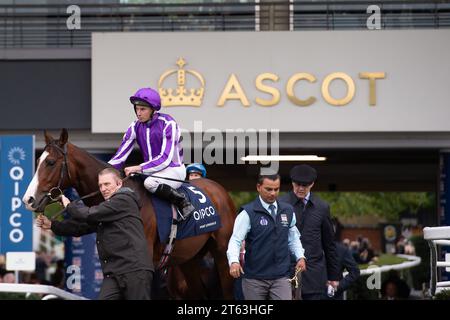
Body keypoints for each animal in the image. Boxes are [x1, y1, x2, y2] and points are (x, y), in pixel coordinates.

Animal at [22, 129, 236, 298]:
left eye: (50, 162)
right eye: (37, 160)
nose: (28, 199)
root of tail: (220, 191)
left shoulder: (146, 264)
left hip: (222, 254)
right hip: (189, 259)